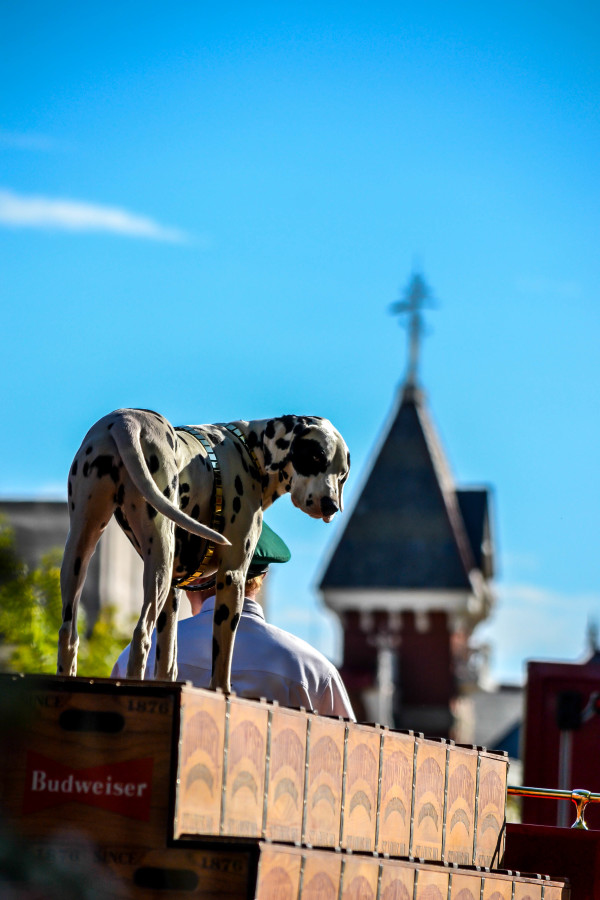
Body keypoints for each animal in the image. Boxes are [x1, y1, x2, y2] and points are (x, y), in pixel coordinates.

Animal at [58, 412, 350, 692]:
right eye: (315, 456)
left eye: (342, 474)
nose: (331, 505)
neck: (250, 450)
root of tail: (125, 421)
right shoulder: (232, 577)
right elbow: (222, 660)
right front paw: (223, 692)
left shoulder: (173, 591)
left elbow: (168, 661)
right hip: (160, 559)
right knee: (141, 634)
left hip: (81, 550)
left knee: (68, 634)